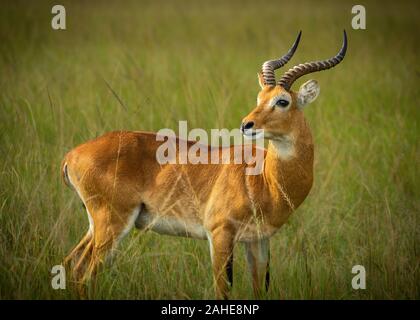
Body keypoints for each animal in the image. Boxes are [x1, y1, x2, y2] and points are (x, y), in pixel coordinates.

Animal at [60, 31, 346, 298]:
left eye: (282, 101)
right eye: (259, 98)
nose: (246, 124)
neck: (264, 180)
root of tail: (71, 155)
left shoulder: (259, 240)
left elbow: (260, 289)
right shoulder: (219, 234)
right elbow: (223, 290)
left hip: (96, 225)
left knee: (71, 264)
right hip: (113, 224)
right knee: (83, 274)